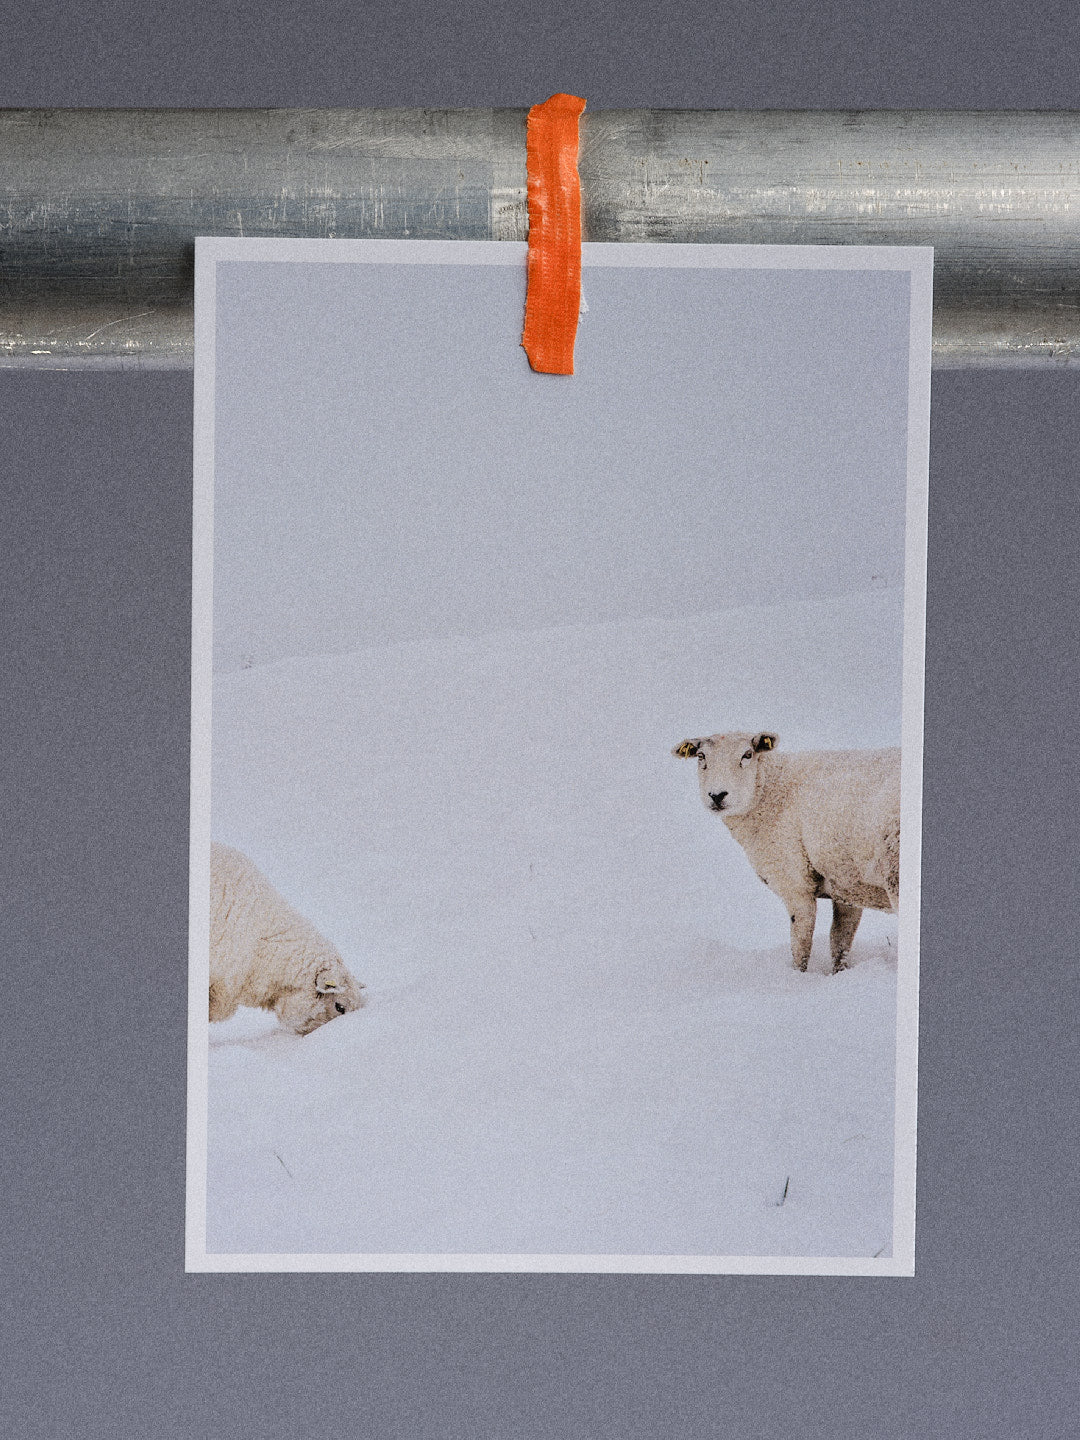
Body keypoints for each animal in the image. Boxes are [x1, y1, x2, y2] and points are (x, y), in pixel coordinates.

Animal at [672, 732, 900, 973]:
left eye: (747, 755)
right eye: (701, 756)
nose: (717, 795)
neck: (771, 789)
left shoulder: (795, 883)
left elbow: (801, 946)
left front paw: (798, 976)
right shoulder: (846, 882)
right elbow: (840, 941)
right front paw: (839, 973)